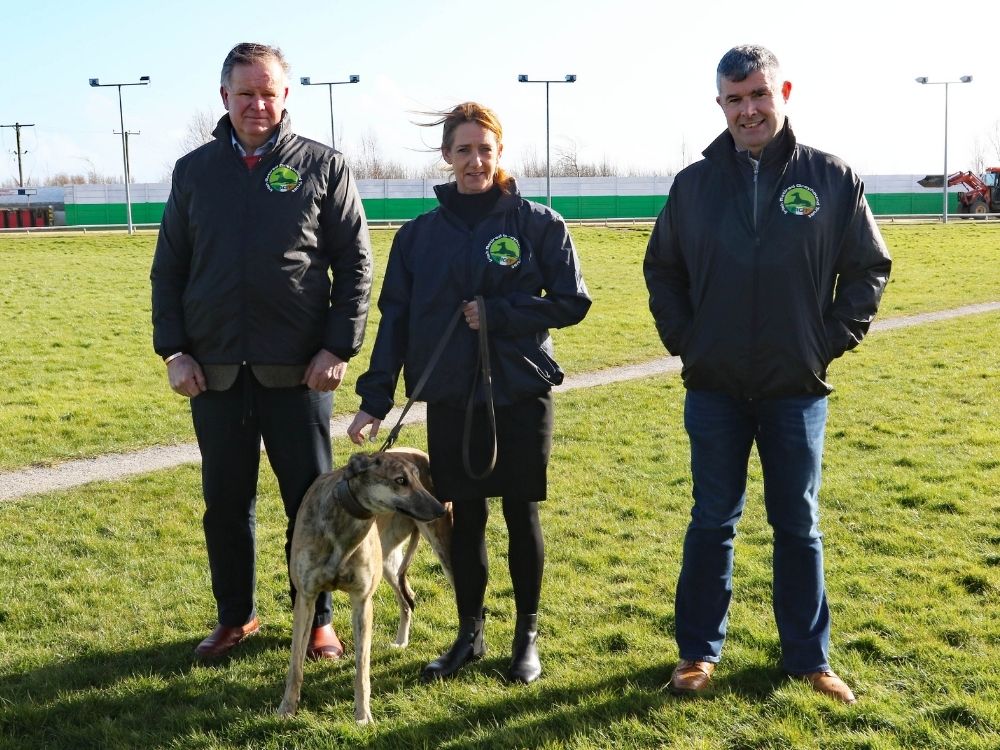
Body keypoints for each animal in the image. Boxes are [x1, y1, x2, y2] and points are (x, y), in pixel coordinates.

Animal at [282, 450, 454, 724]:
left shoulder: (362, 602)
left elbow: (362, 669)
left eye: (417, 478)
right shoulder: (306, 597)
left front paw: (363, 716)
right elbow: (295, 665)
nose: (440, 508)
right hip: (388, 562)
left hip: (443, 550)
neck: (344, 525)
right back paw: (401, 642)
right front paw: (287, 709)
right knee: (407, 598)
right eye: (400, 480)